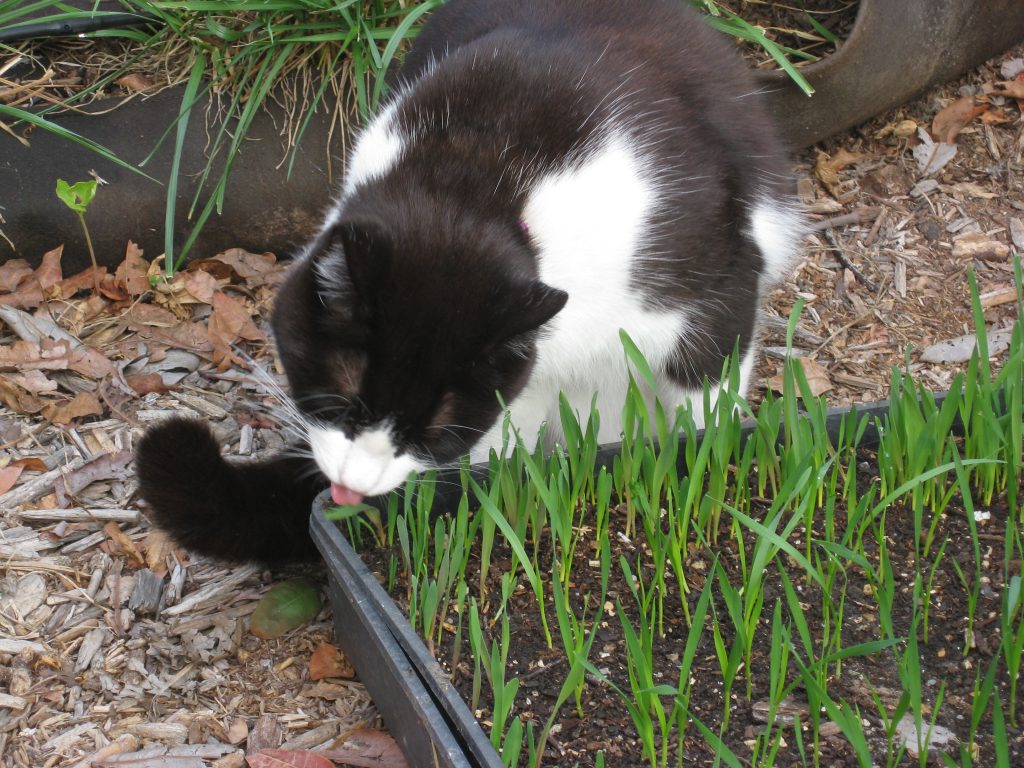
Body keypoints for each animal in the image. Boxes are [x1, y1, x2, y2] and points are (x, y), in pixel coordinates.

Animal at [134, 0, 798, 565]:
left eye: (433, 431)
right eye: (342, 402)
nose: (350, 486)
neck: (478, 184)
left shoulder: (712, 296)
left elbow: (705, 425)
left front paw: (701, 480)